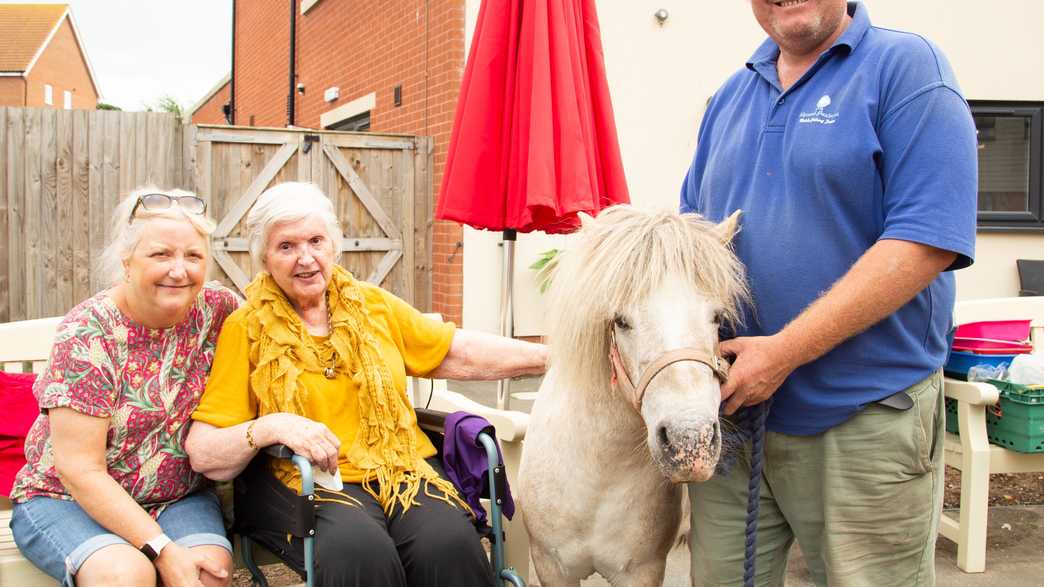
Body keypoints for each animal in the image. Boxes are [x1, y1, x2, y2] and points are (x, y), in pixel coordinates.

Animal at [517, 203, 747, 580]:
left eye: (716, 317)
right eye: (621, 321)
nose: (690, 443)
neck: (598, 478)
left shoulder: (641, 570)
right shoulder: (551, 565)